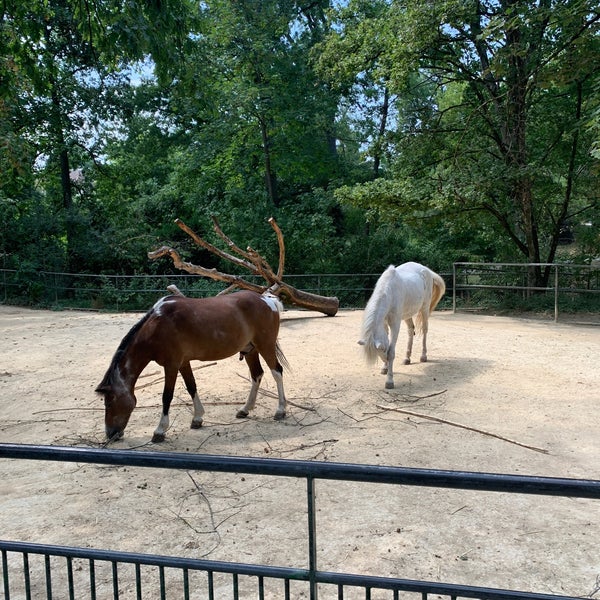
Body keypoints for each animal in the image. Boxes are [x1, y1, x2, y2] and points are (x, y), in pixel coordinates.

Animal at [95, 292, 288, 442]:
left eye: (109, 402)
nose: (110, 434)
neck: (157, 325)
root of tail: (267, 299)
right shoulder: (183, 362)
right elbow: (191, 386)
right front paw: (197, 418)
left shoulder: (171, 365)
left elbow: (167, 396)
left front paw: (160, 430)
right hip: (250, 350)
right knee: (257, 375)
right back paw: (245, 409)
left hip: (265, 346)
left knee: (277, 372)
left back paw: (280, 410)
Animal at [356, 262, 446, 390]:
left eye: (382, 349)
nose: (385, 361)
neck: (390, 291)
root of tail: (426, 270)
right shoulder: (384, 323)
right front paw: (385, 368)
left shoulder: (395, 324)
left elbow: (391, 352)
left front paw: (389, 381)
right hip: (408, 314)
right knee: (411, 330)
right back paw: (407, 358)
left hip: (424, 309)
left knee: (424, 330)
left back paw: (423, 356)